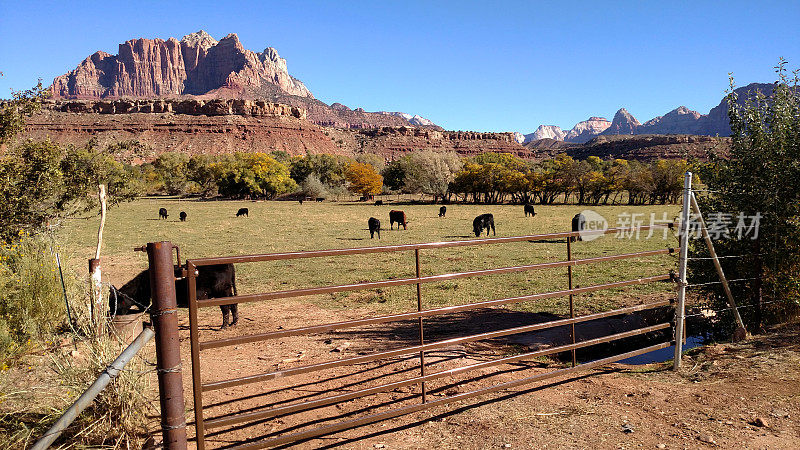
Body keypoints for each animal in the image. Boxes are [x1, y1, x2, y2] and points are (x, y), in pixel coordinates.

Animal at [111, 264, 239, 326]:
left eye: (115, 303)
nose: (112, 315)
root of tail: (228, 264)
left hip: (221, 293)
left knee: (225, 308)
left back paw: (224, 325)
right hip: (228, 292)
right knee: (233, 304)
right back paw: (234, 322)